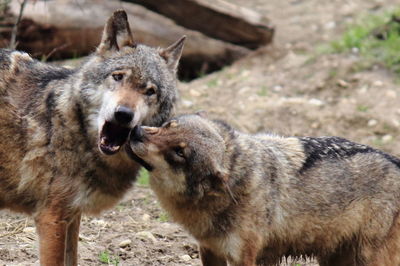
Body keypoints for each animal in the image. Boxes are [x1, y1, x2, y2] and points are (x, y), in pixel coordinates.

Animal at [126, 112, 400, 266]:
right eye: (168, 125)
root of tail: (396, 161)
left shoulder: (243, 257)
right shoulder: (210, 250)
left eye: (179, 153)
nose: (135, 131)